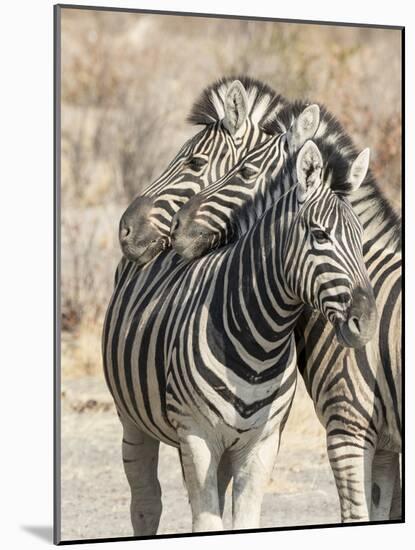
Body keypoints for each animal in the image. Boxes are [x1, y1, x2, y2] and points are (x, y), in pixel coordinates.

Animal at [103, 134, 376, 536]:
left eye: (361, 239)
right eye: (320, 235)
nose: (367, 320)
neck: (260, 339)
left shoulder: (262, 444)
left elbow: (243, 517)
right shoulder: (197, 435)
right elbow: (204, 521)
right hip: (134, 420)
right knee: (146, 502)